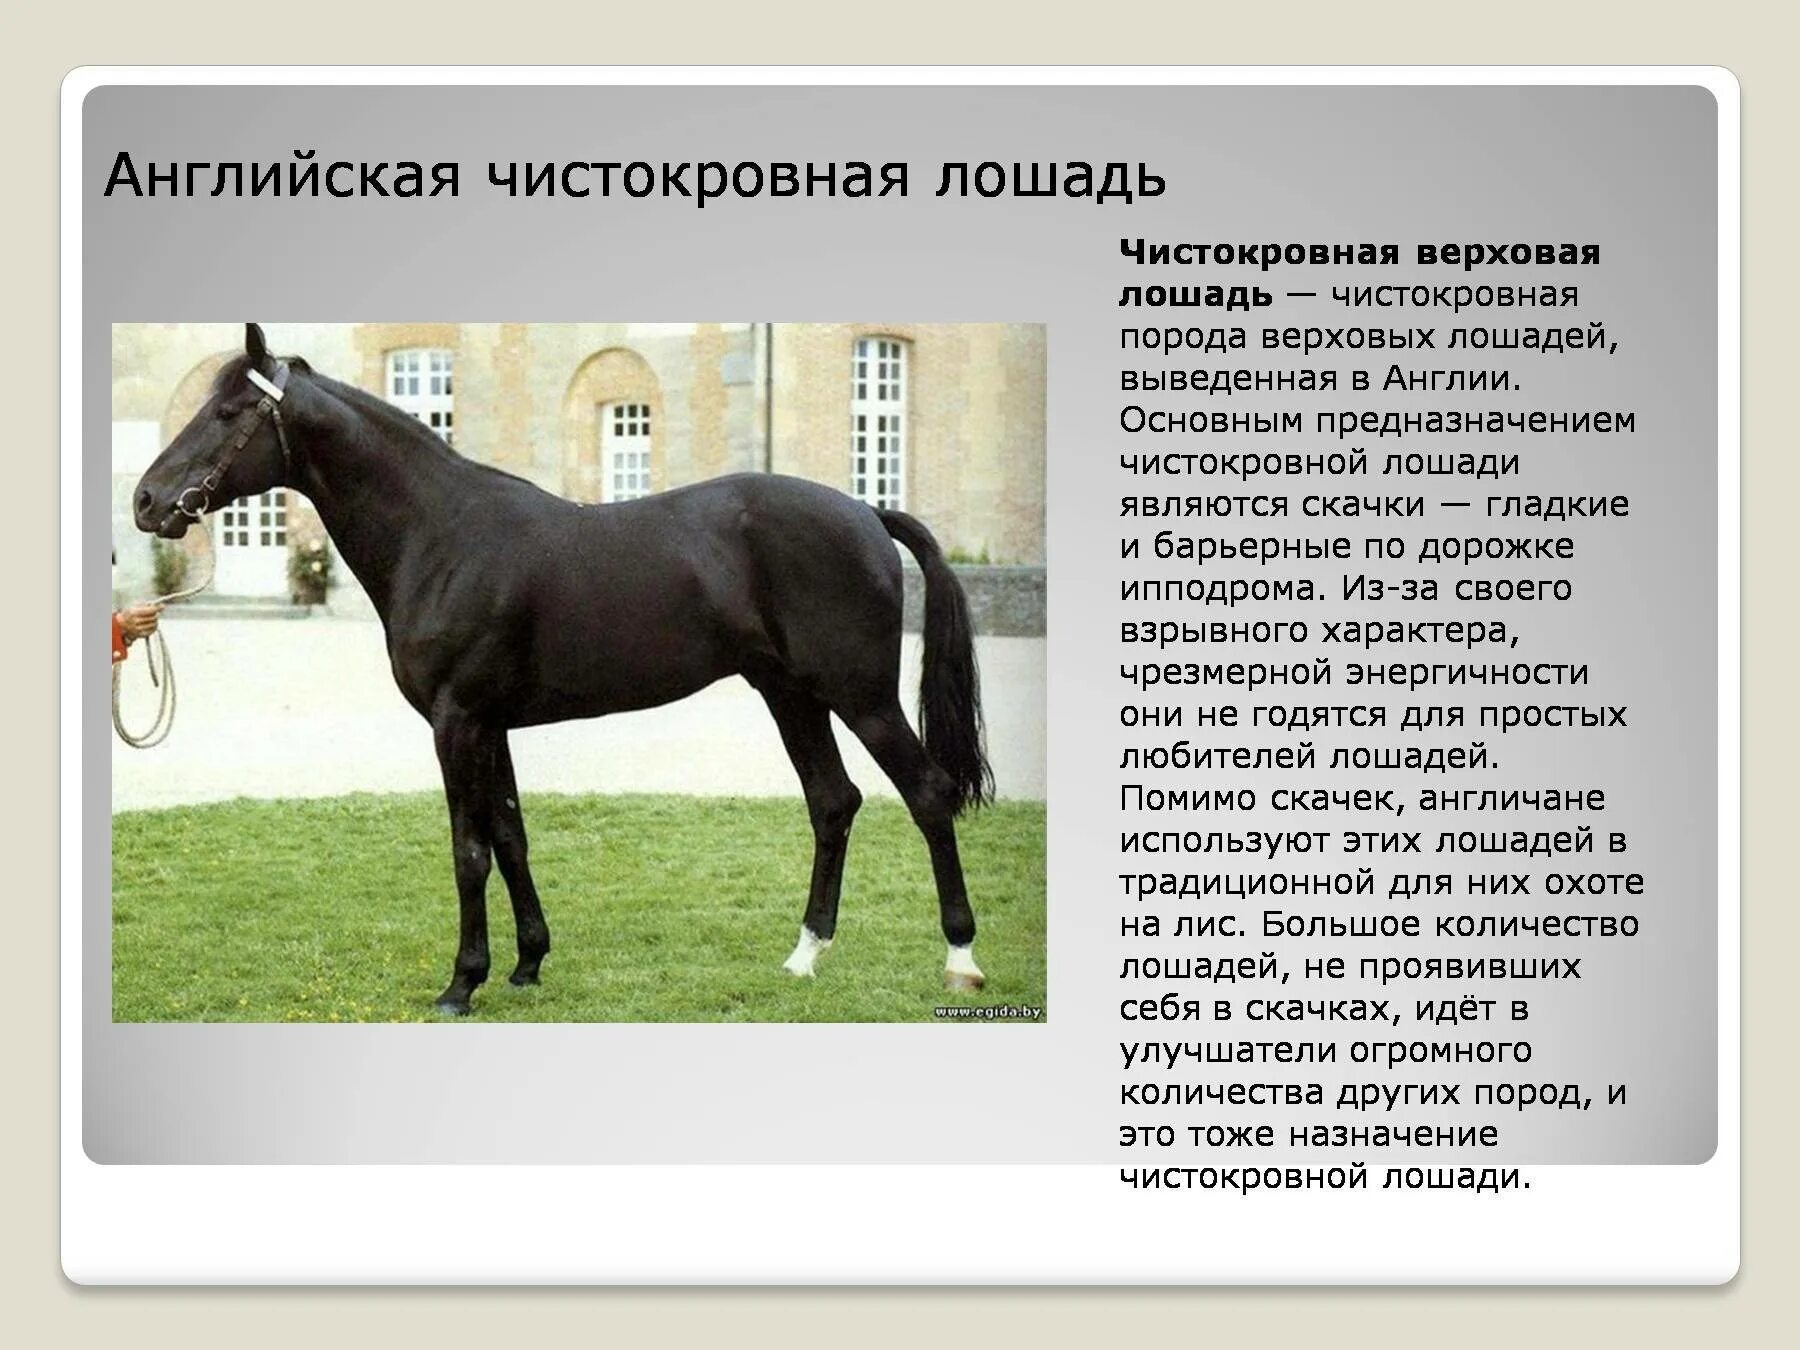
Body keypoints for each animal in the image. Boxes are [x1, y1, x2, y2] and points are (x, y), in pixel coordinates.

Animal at [132, 324, 994, 1015]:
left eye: (228, 413)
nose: (146, 500)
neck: (441, 535)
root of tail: (866, 512)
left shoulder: (457, 723)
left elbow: (469, 851)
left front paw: (461, 983)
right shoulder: (492, 726)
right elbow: (511, 836)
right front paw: (526, 964)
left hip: (861, 696)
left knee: (926, 794)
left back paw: (960, 959)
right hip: (791, 694)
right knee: (833, 802)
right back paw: (804, 955)